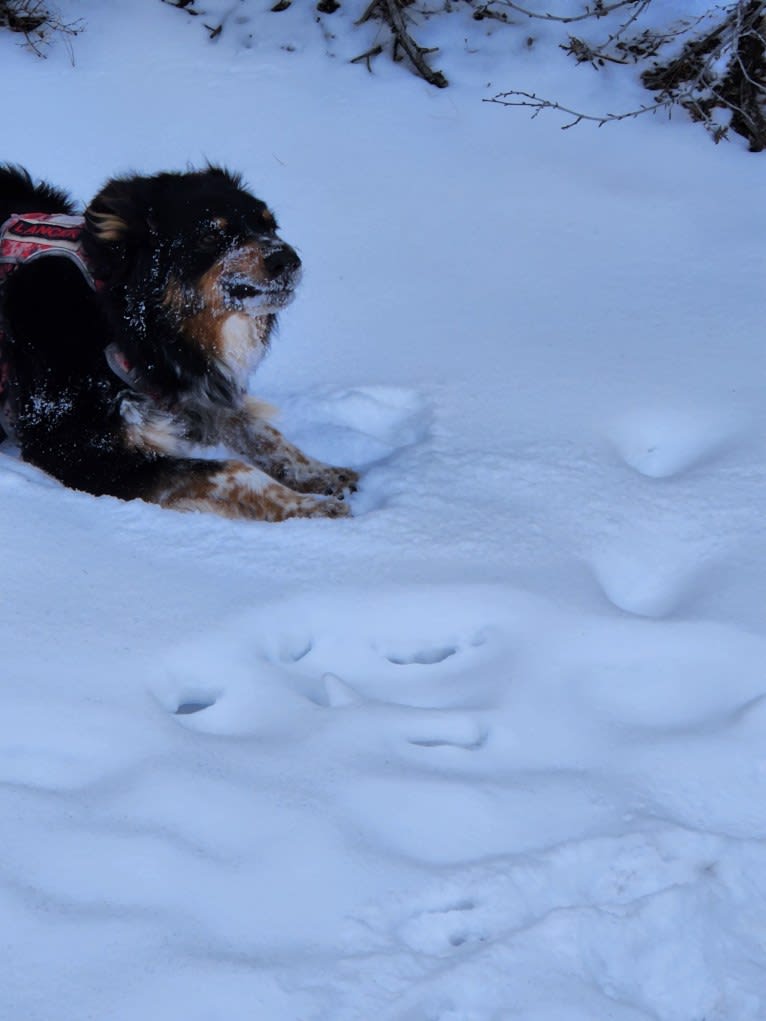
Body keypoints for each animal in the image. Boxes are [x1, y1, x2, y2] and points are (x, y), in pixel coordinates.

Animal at [0, 165, 359, 526]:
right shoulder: (73, 446)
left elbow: (262, 432)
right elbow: (232, 470)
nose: (289, 259)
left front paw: (322, 473)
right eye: (210, 236)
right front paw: (308, 507)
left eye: (269, 225)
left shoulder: (184, 386)